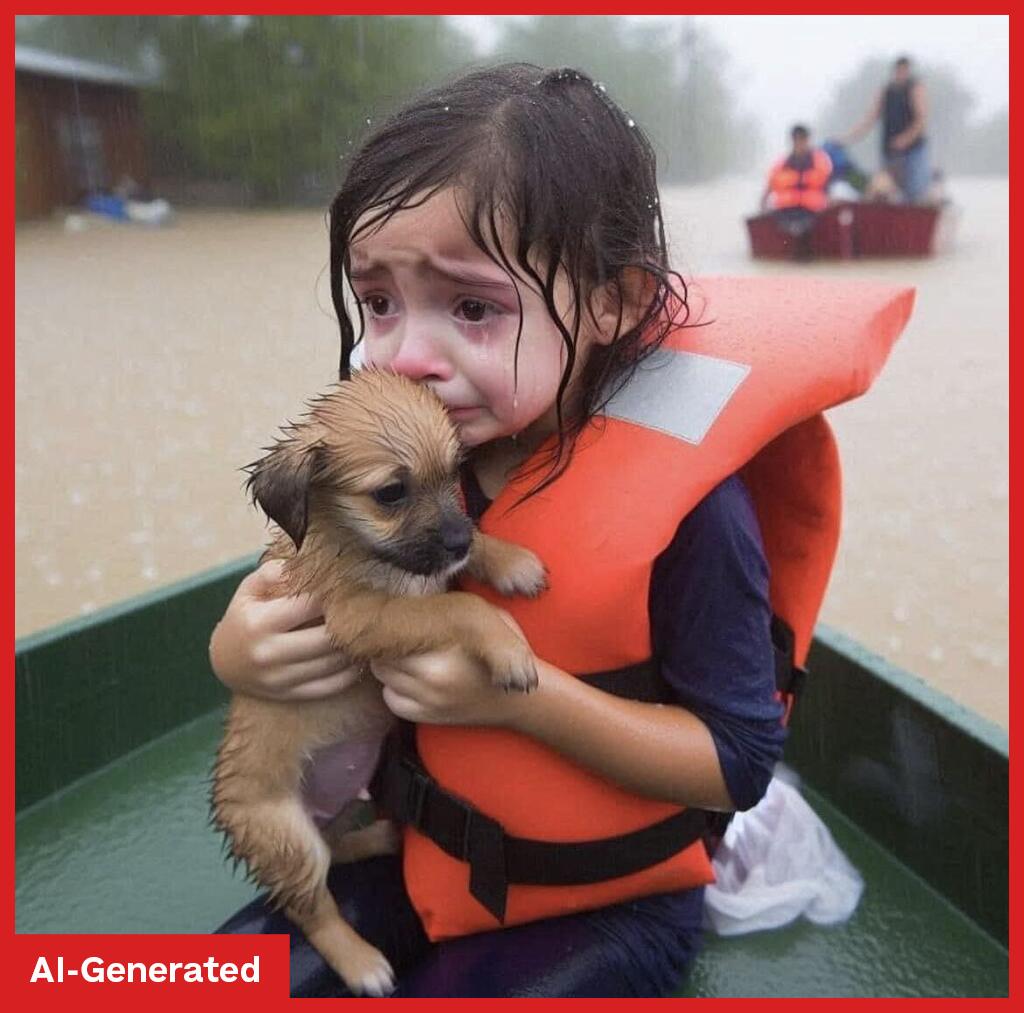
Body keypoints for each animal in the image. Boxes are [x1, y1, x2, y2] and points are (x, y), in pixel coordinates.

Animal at [211, 366, 548, 991]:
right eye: (391, 493)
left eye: (455, 472)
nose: (457, 542)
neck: (351, 542)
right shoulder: (360, 616)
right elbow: (458, 607)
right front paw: (508, 647)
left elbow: (460, 566)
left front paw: (509, 560)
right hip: (287, 837)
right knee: (311, 907)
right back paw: (362, 962)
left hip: (340, 803)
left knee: (336, 849)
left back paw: (381, 836)